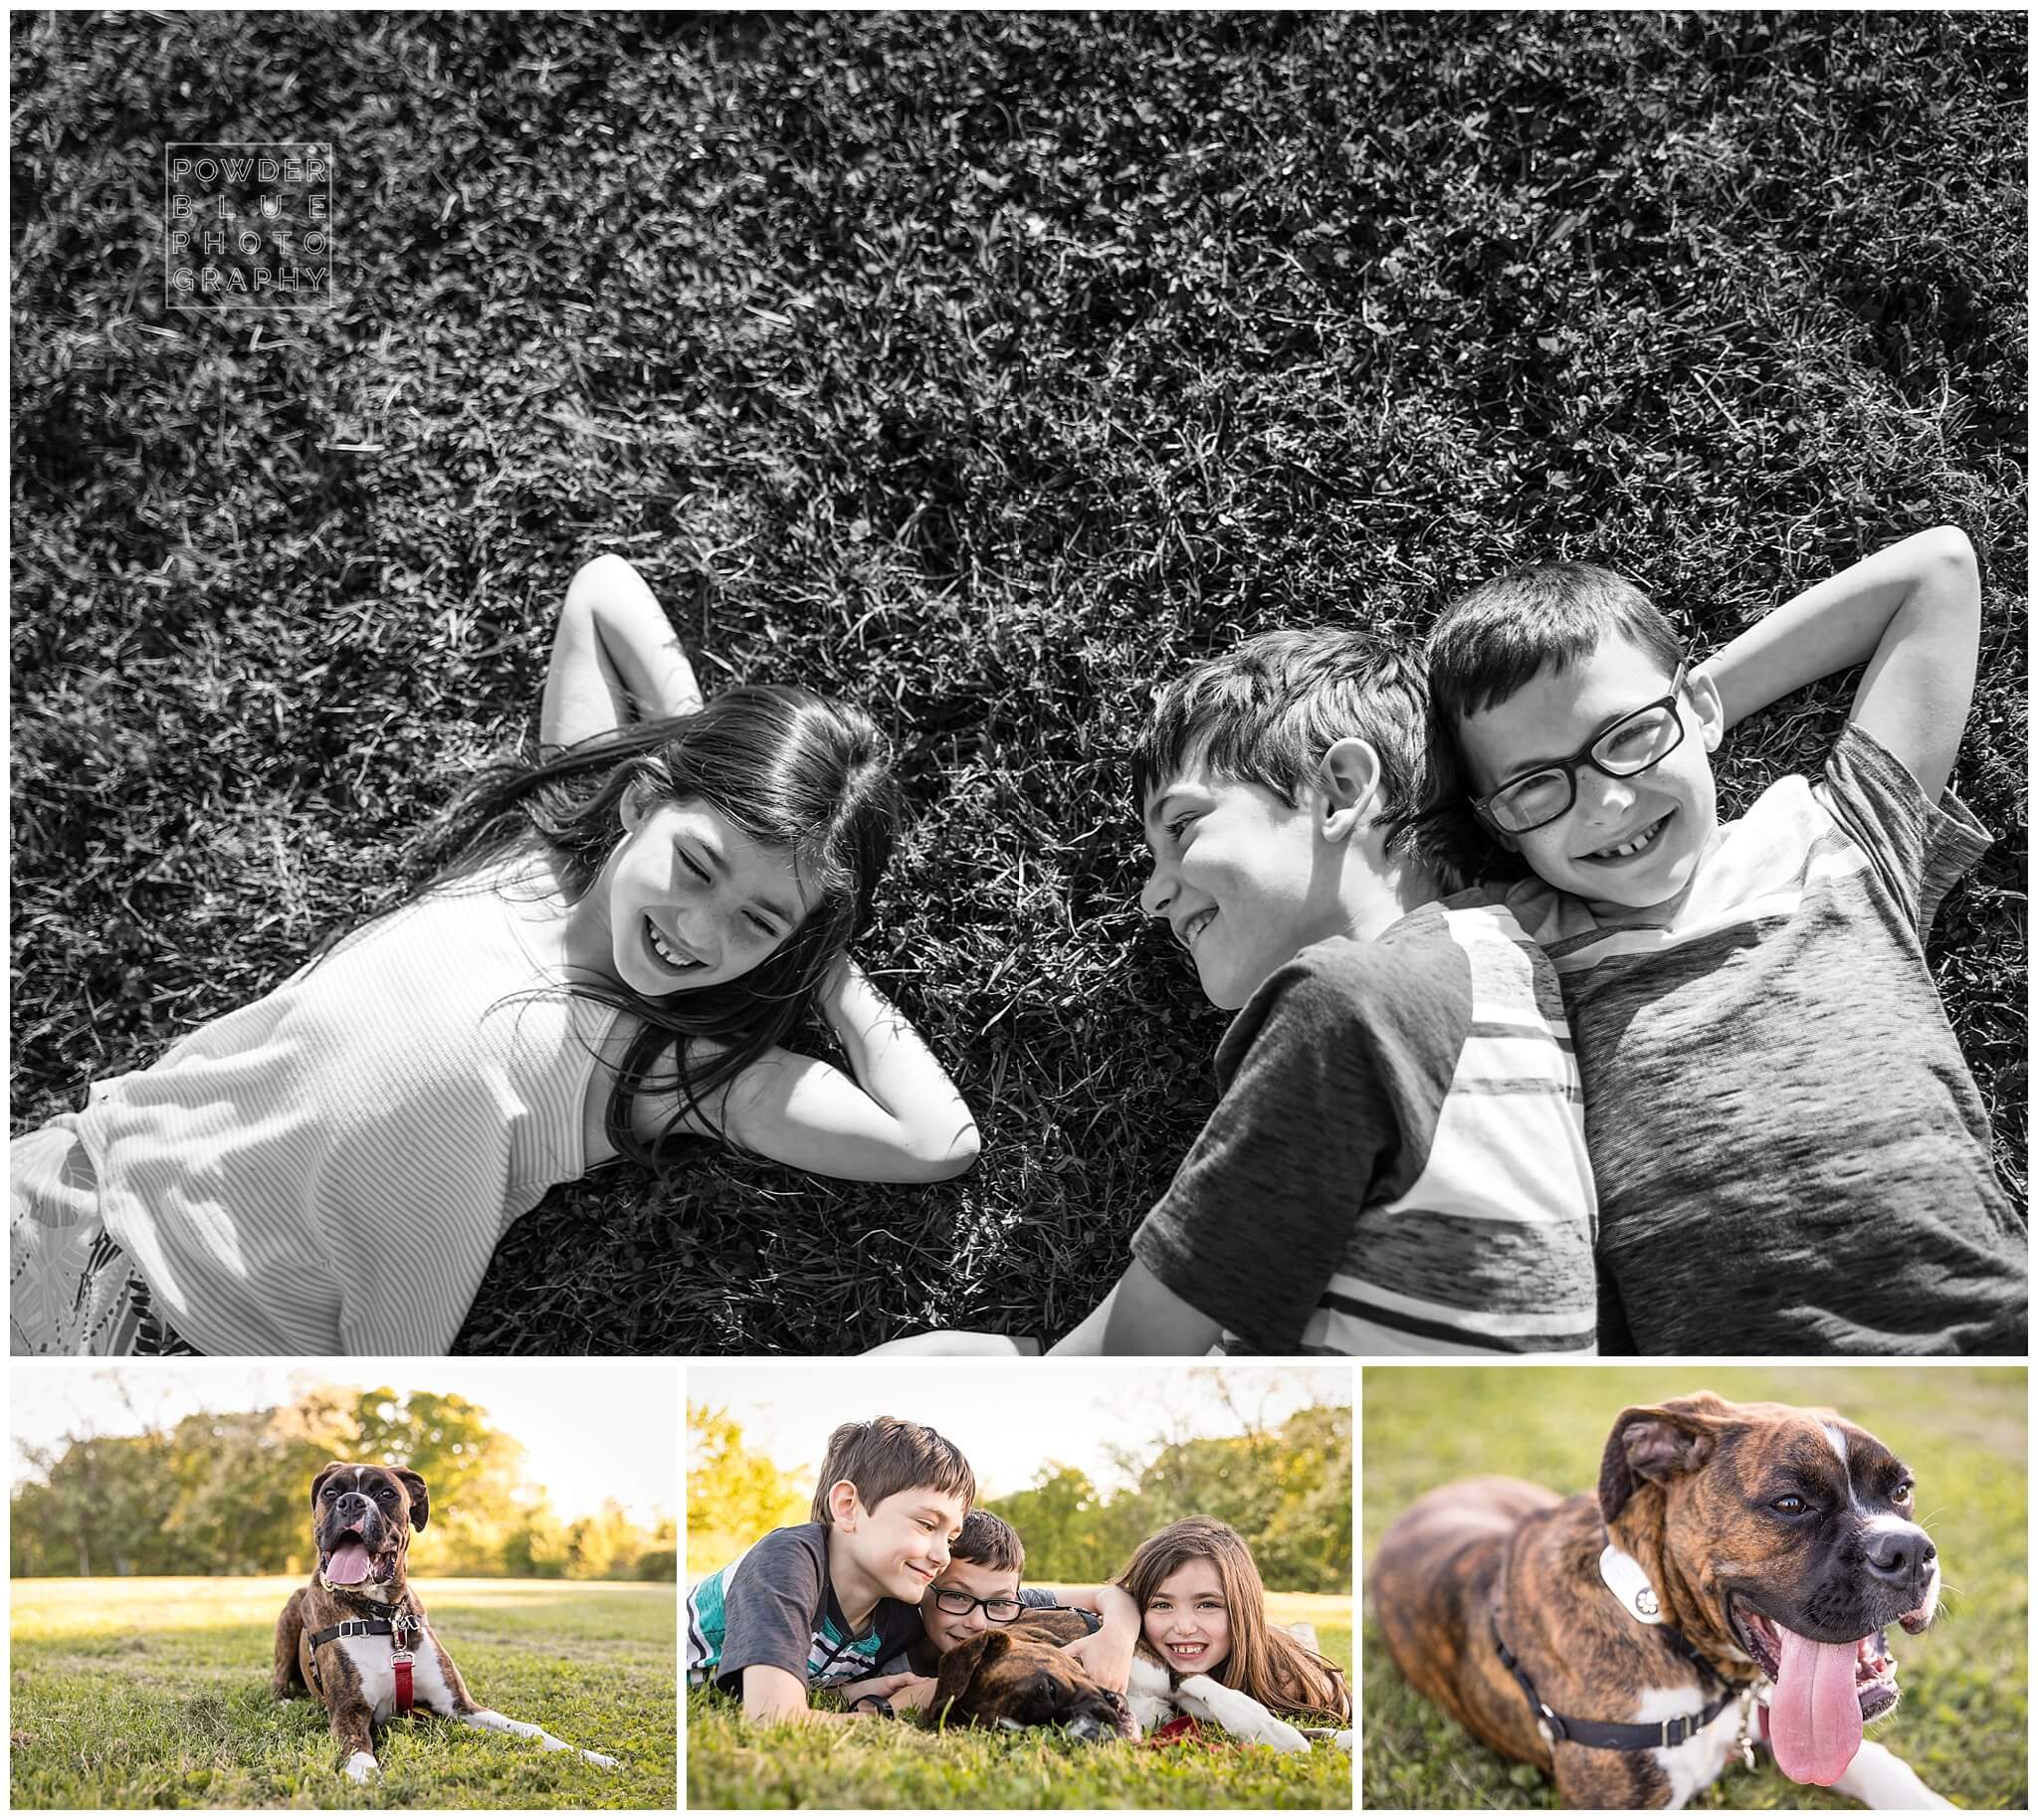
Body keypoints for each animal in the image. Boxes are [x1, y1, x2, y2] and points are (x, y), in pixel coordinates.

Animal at [275, 1459, 615, 1785]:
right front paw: (363, 1775)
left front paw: (587, 1755)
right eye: (330, 1492)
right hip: (289, 1615)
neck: (383, 1616)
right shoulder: (349, 1711)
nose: (350, 1502)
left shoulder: (459, 1706)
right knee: (278, 1680)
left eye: (386, 1494)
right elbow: (357, 1746)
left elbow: (528, 1728)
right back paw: (285, 1701)